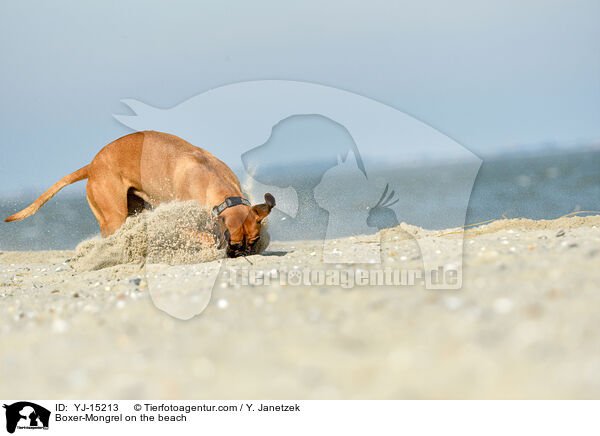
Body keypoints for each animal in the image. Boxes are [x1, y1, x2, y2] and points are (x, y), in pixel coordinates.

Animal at [5, 131, 276, 258]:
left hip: (133, 207)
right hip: (113, 217)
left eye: (253, 241)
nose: (241, 253)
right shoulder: (181, 221)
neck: (215, 183)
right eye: (235, 243)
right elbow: (206, 236)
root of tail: (92, 165)